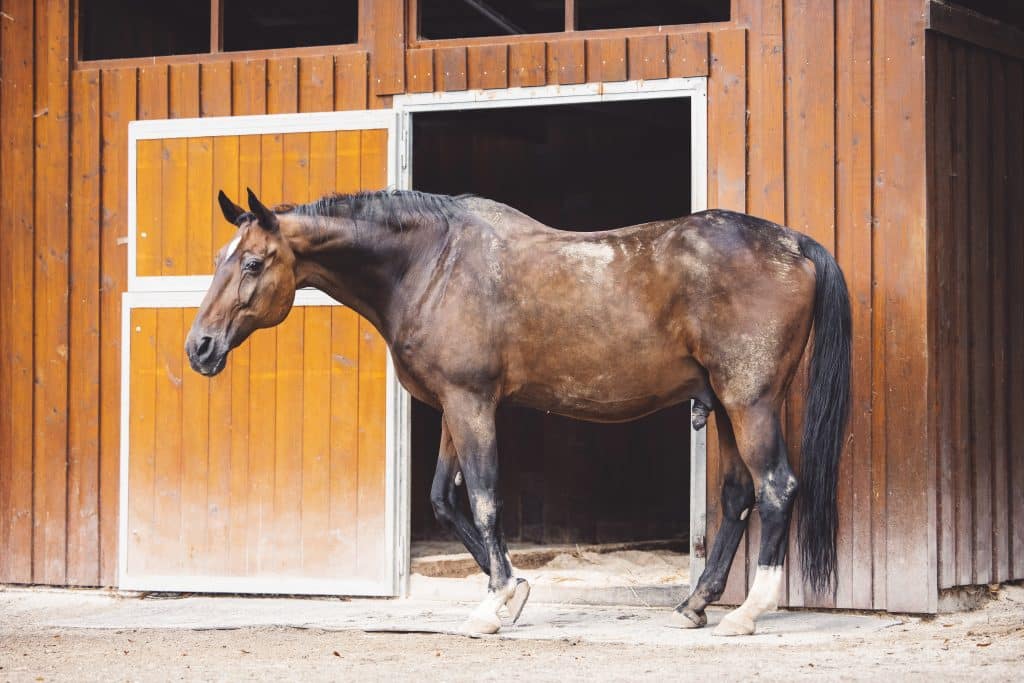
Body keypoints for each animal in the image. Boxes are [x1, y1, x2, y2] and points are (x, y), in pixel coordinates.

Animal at [185, 188, 851, 636]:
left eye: (252, 263)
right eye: (219, 259)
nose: (200, 348)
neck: (431, 264)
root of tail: (794, 245)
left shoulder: (472, 403)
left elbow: (484, 500)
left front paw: (495, 603)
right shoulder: (453, 407)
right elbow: (443, 499)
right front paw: (516, 591)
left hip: (748, 401)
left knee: (775, 488)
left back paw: (748, 612)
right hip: (728, 405)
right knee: (739, 496)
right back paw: (694, 606)